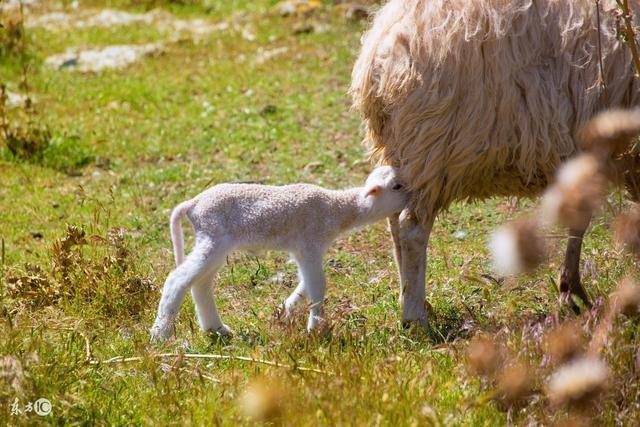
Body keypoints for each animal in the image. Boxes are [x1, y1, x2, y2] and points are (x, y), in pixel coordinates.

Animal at [151, 166, 404, 342]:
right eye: (397, 186)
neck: (337, 210)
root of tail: (193, 204)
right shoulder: (310, 245)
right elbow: (318, 286)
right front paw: (316, 329)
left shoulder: (304, 251)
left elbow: (306, 285)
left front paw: (285, 312)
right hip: (213, 237)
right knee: (178, 279)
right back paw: (160, 335)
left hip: (214, 243)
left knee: (200, 283)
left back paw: (217, 329)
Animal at [348, 0, 640, 330]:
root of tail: (380, 50)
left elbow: (580, 218)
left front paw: (571, 291)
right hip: (431, 146)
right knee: (411, 228)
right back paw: (416, 318)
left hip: (404, 153)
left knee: (394, 222)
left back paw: (412, 301)